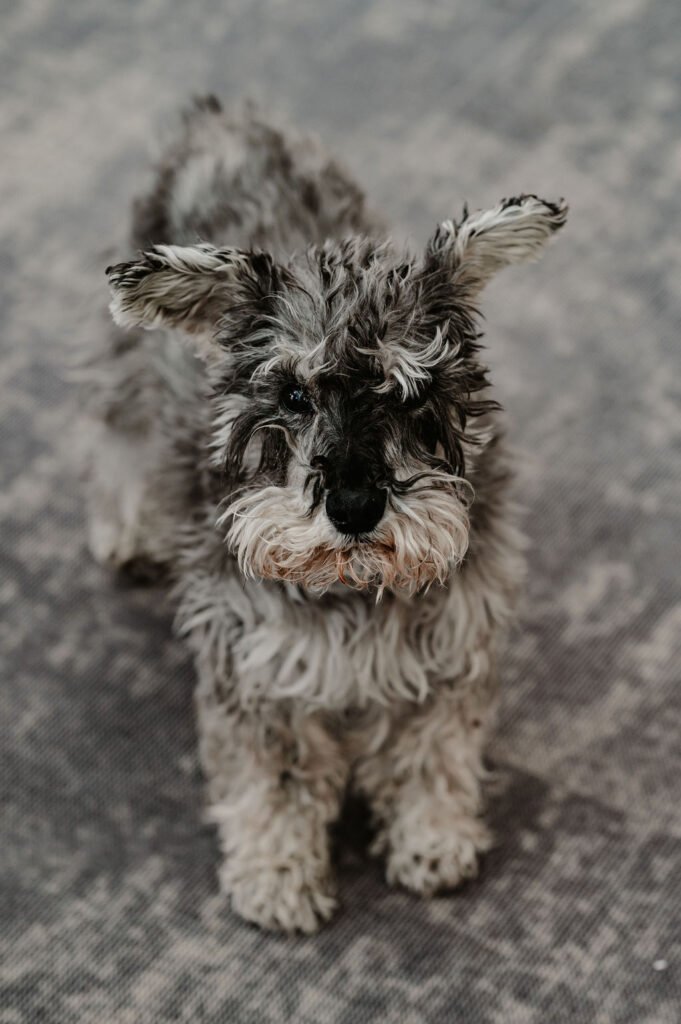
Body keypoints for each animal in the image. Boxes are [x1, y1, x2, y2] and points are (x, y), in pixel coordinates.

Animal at [87, 96, 567, 932]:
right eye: (292, 395)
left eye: (413, 394)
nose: (352, 508)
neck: (353, 584)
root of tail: (222, 116)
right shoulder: (257, 676)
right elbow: (272, 785)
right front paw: (278, 876)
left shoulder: (449, 653)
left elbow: (434, 754)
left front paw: (432, 842)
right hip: (130, 371)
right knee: (120, 435)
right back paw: (127, 530)